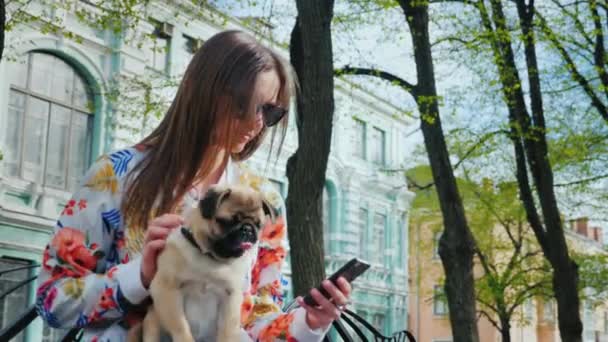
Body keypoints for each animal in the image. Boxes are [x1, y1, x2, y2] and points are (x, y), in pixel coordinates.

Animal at [128, 184, 276, 342]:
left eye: (259, 225)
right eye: (227, 221)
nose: (248, 229)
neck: (210, 258)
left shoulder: (231, 298)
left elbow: (227, 330)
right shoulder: (167, 289)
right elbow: (180, 326)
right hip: (153, 319)